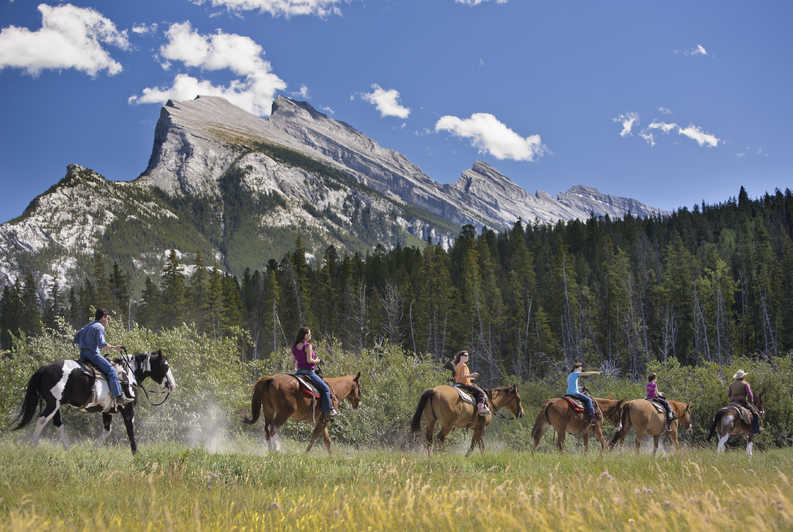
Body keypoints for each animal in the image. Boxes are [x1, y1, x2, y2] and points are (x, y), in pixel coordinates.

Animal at [11, 350, 175, 454]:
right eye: (165, 365)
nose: (172, 385)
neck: (128, 374)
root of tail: (42, 369)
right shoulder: (127, 409)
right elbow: (130, 431)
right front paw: (136, 453)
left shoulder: (107, 410)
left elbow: (107, 431)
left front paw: (93, 450)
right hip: (52, 404)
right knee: (41, 420)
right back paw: (34, 447)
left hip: (56, 406)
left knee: (58, 425)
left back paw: (68, 450)